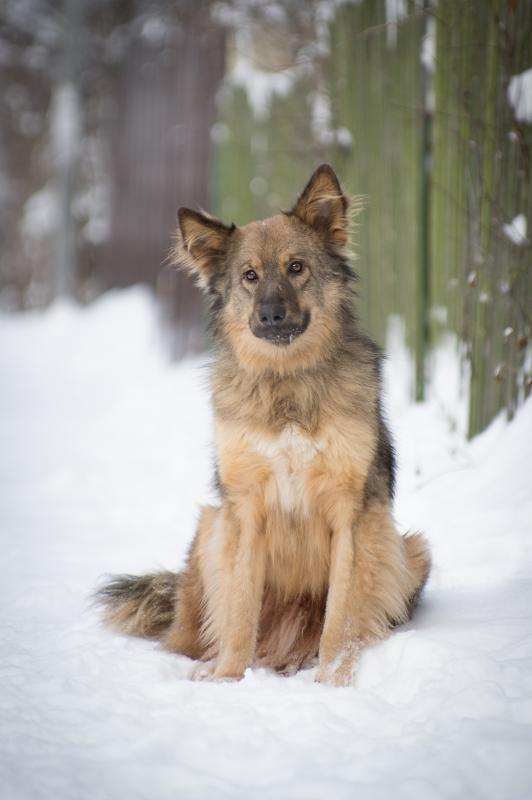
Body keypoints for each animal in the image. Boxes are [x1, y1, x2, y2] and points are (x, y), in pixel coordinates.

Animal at [95, 164, 430, 688]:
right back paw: (207, 664)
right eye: (249, 276)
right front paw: (229, 678)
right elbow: (238, 609)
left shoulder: (354, 514)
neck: (286, 383)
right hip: (210, 529)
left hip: (410, 549)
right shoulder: (244, 511)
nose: (271, 315)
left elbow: (342, 615)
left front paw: (332, 680)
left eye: (296, 267)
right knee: (193, 634)